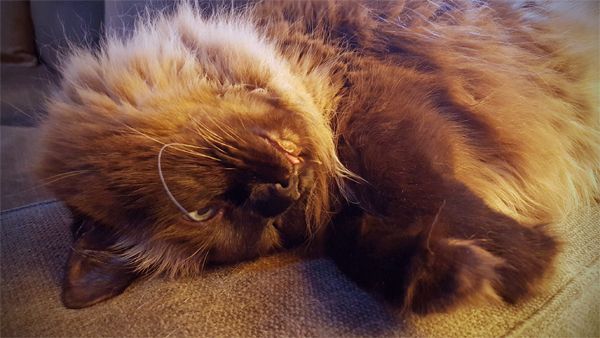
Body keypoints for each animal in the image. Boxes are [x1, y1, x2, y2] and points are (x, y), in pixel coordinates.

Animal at [37, 0, 600, 314]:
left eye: (201, 211)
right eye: (220, 214)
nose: (279, 191)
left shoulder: (378, 102)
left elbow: (415, 187)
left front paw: (526, 260)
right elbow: (363, 241)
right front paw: (457, 275)